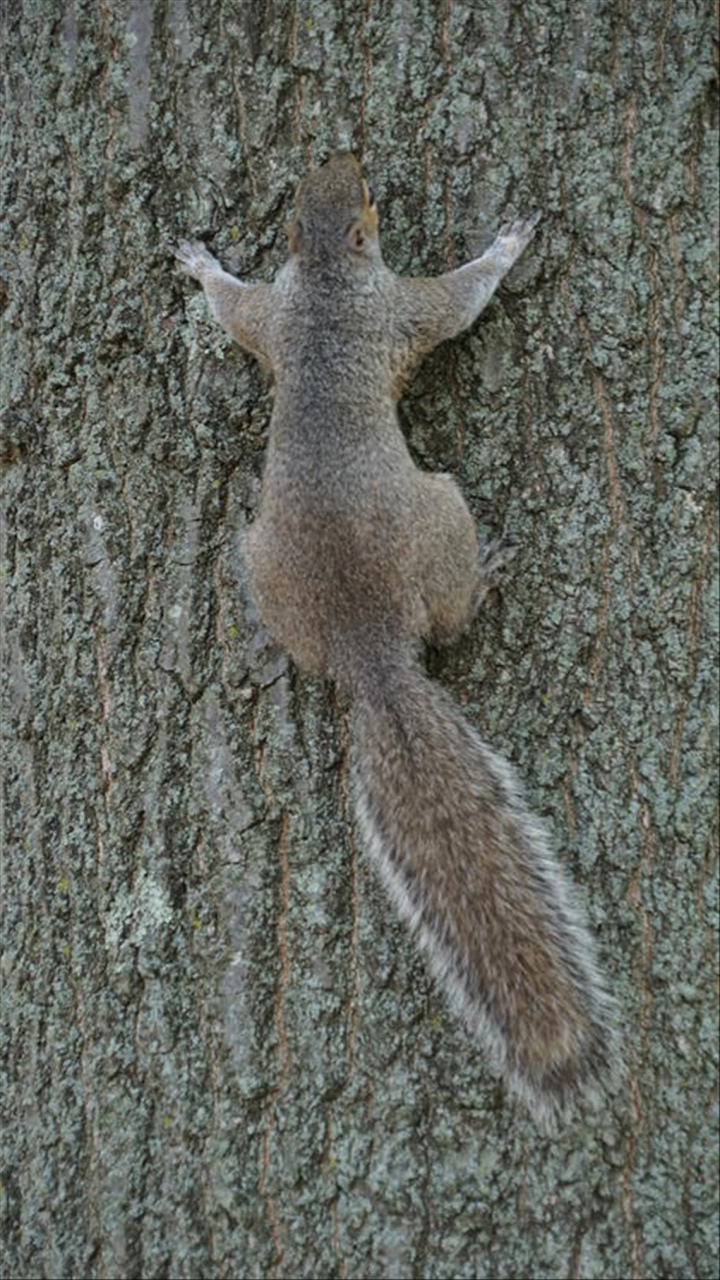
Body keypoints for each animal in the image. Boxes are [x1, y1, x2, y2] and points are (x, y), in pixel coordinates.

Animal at [172, 152, 609, 1131]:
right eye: (364, 197)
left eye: (324, 183)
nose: (348, 154)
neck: (329, 278)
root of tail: (366, 650)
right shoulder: (401, 308)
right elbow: (459, 300)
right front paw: (507, 244)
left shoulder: (275, 313)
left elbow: (234, 310)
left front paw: (201, 264)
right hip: (441, 513)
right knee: (450, 609)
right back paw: (491, 573)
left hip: (264, 567)